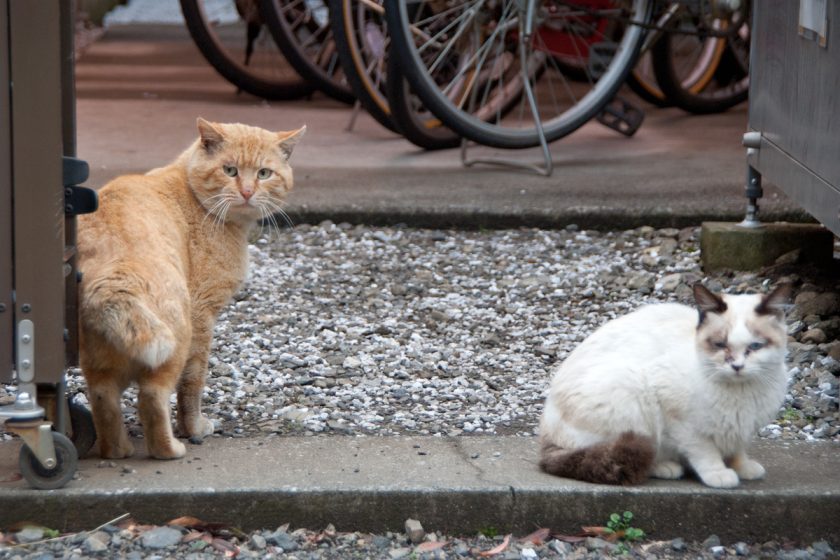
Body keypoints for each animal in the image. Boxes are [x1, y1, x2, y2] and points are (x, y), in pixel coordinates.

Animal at [79, 118, 306, 460]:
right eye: (230, 170)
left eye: (264, 173)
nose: (247, 191)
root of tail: (111, 277)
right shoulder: (203, 314)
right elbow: (193, 384)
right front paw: (194, 427)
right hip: (176, 337)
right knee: (152, 397)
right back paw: (170, 449)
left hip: (99, 359)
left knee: (103, 399)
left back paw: (117, 449)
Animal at [540, 282, 792, 488]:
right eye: (720, 345)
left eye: (755, 346)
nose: (738, 367)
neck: (741, 393)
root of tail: (546, 436)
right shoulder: (682, 422)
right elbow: (705, 451)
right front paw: (719, 474)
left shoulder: (740, 427)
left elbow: (737, 450)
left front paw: (743, 467)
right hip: (634, 394)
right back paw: (666, 467)